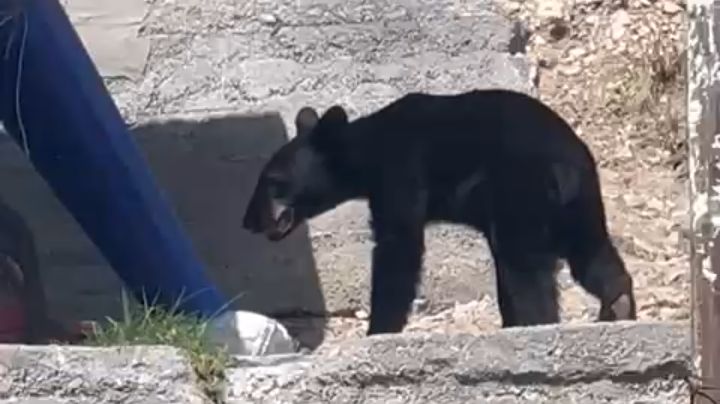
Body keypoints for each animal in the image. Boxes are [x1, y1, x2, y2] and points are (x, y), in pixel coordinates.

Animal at [243, 90, 636, 336]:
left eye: (272, 181)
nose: (248, 221)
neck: (367, 148)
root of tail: (569, 162)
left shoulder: (402, 169)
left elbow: (398, 247)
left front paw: (379, 329)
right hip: (581, 204)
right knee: (591, 254)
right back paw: (618, 305)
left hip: (523, 189)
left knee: (523, 266)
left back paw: (535, 322)